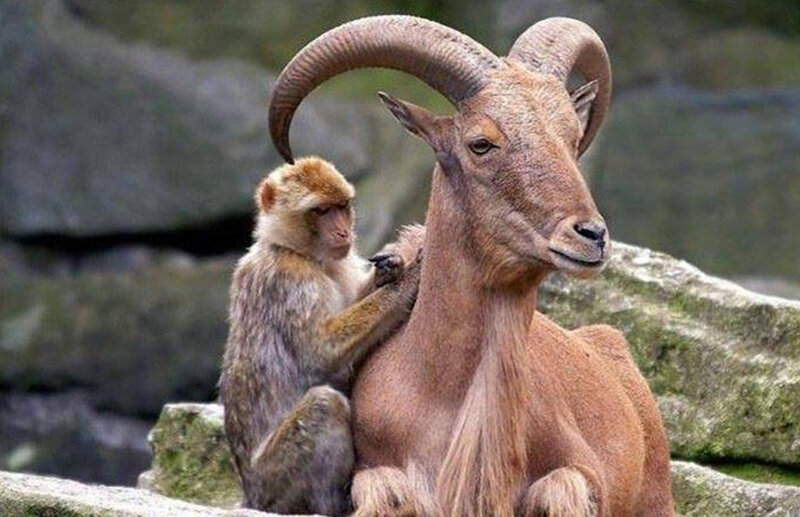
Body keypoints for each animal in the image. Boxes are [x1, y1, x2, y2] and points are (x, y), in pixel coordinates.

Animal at [219, 157, 424, 516]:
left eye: (342, 207)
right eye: (321, 210)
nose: (344, 231)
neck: (301, 253)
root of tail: (251, 495)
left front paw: (389, 270)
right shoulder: (290, 281)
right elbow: (321, 355)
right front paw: (406, 281)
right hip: (274, 481)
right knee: (325, 404)